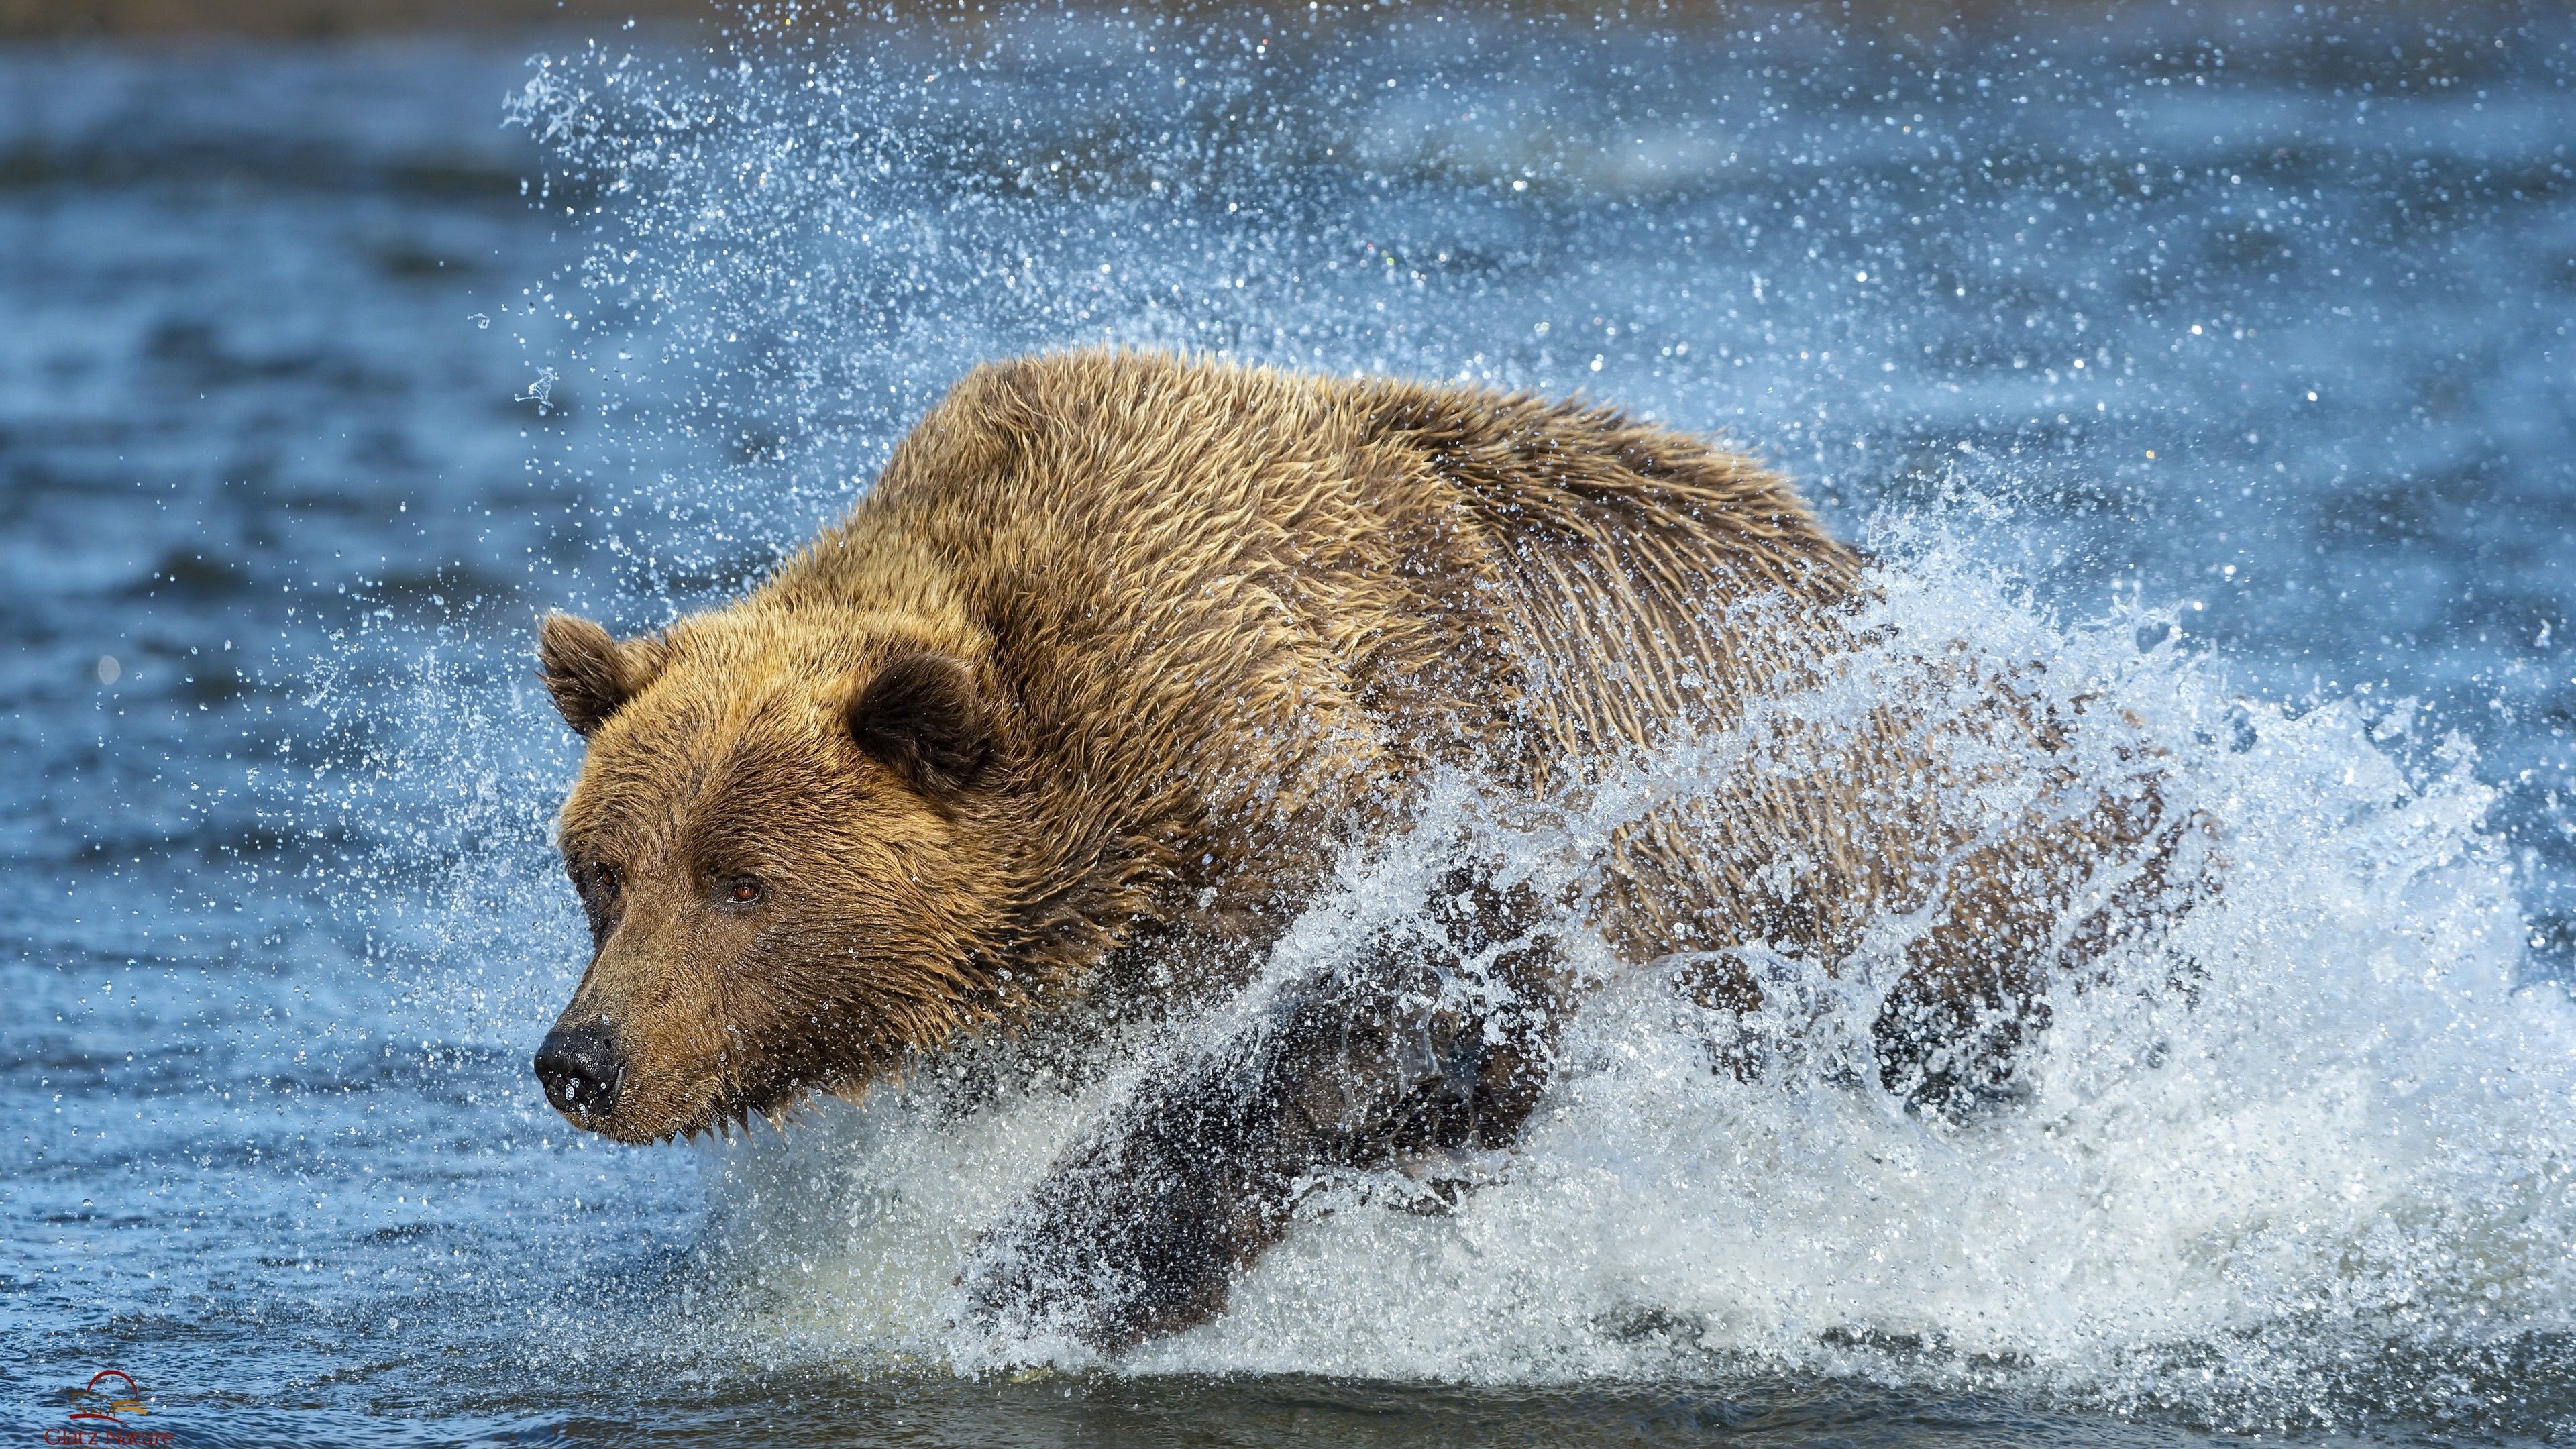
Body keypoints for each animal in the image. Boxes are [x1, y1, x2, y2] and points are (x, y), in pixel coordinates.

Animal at [533, 343, 2205, 1350]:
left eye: (743, 882)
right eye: (603, 871)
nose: (581, 1061)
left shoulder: (1348, 768)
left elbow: (1410, 1014)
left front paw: (1063, 1268)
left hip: (1941, 902)